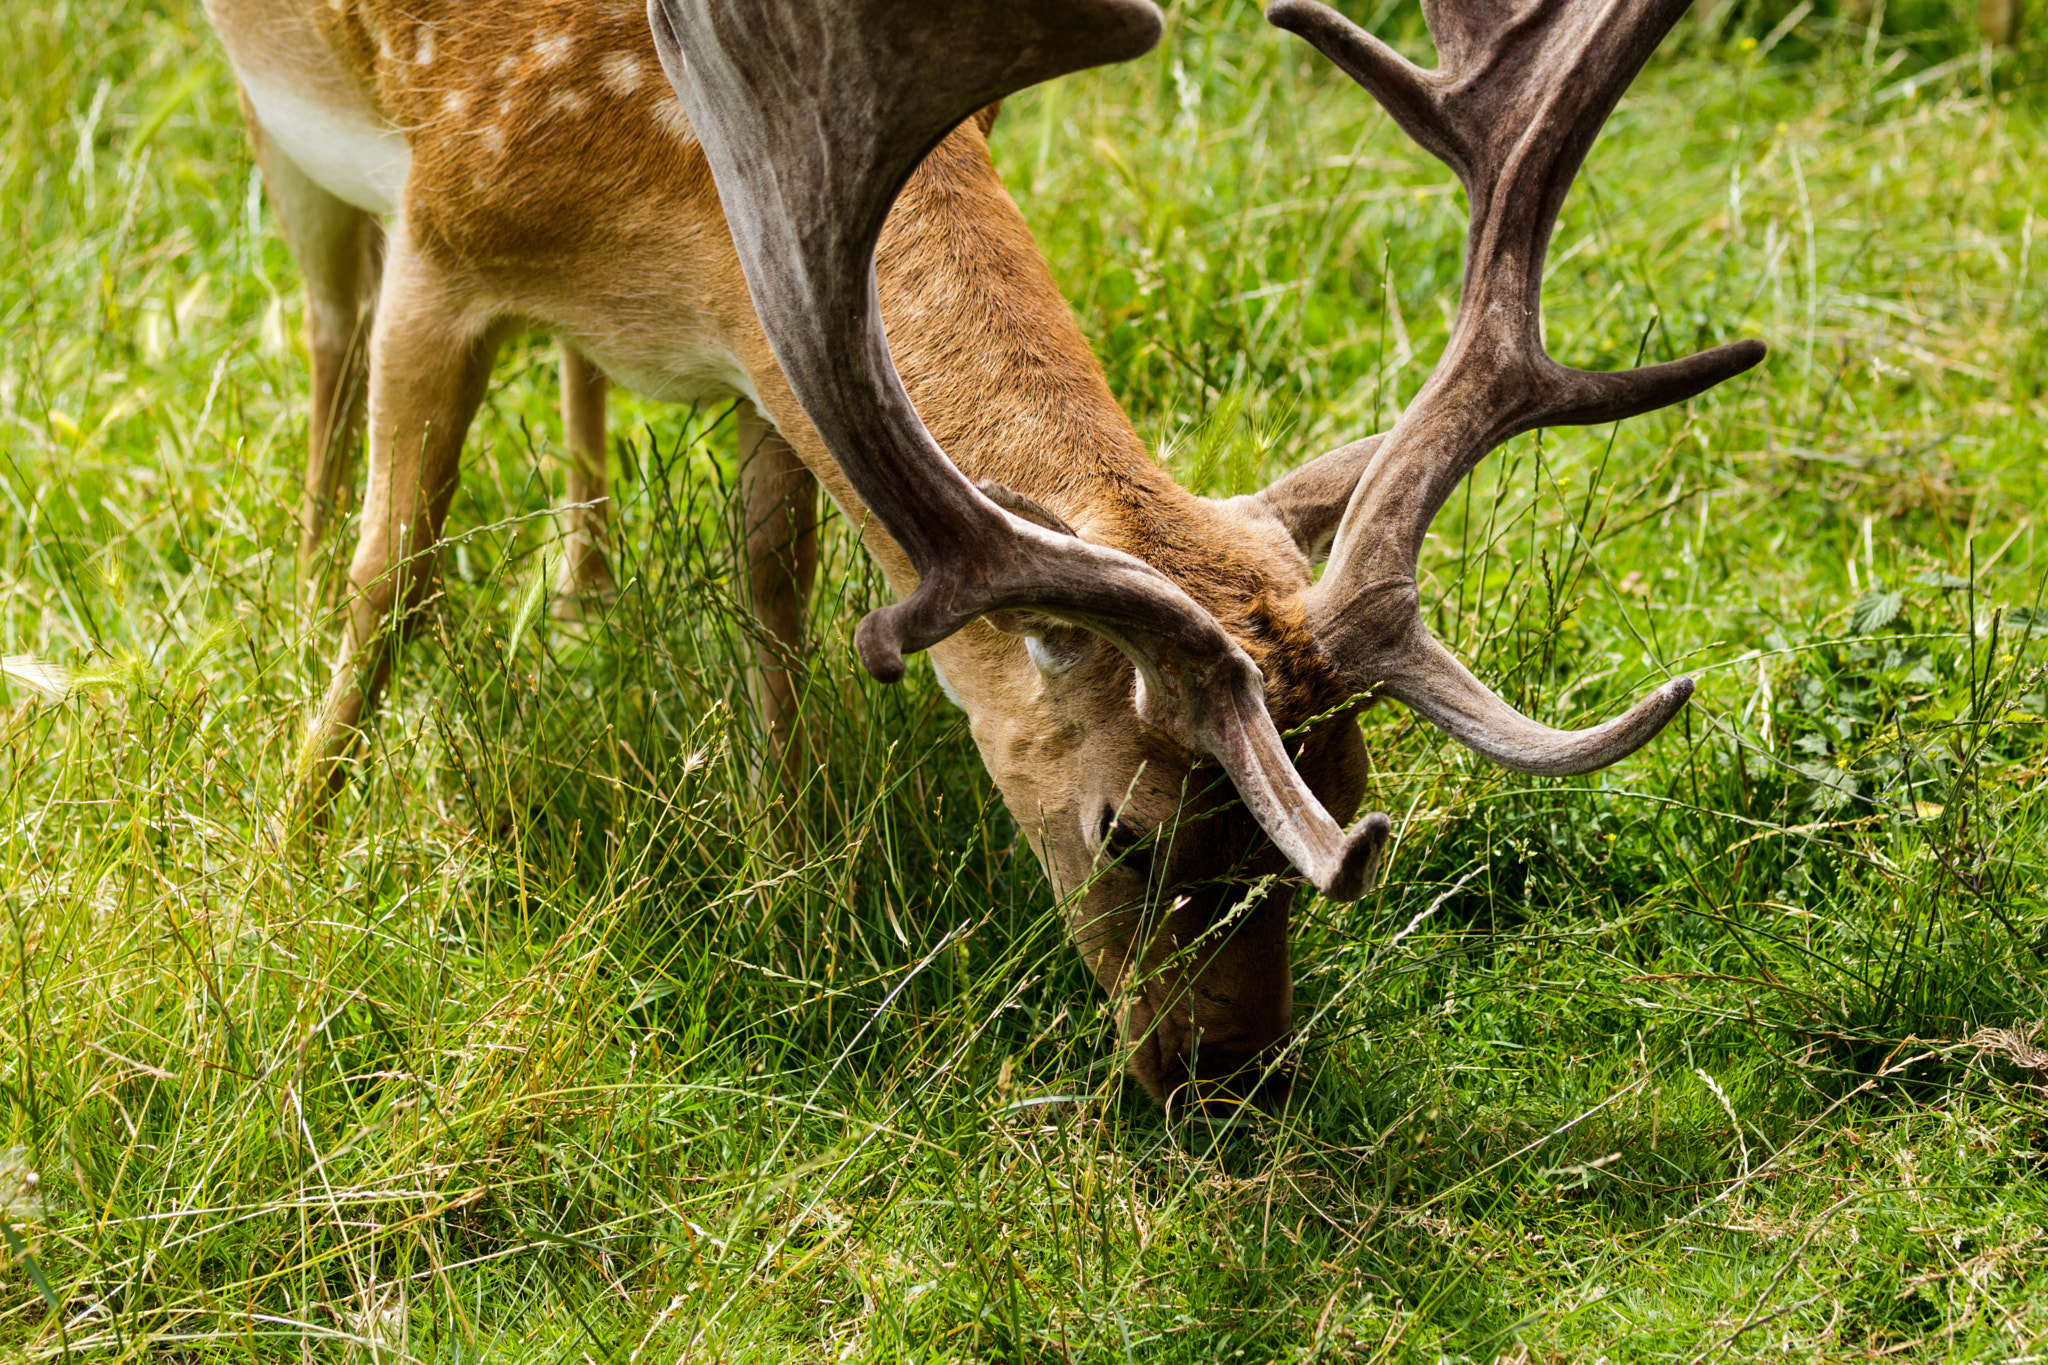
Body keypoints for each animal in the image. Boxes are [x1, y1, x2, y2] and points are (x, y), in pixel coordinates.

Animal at [203, 0, 1761, 1113]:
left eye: (1354, 792)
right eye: (1128, 831)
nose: (1231, 1074)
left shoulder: (779, 346)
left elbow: (776, 572)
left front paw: (788, 874)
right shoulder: (444, 238)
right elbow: (397, 576)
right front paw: (286, 858)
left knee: (570, 383)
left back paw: (584, 590)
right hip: (290, 131)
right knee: (326, 327)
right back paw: (300, 588)